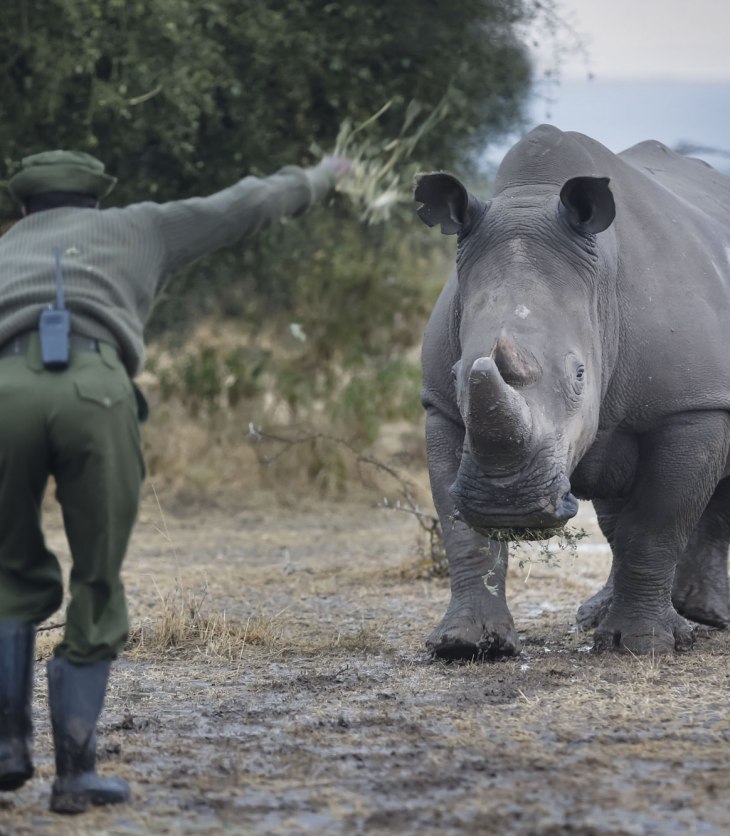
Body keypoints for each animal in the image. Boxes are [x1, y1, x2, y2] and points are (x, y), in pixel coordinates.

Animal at [415, 124, 730, 657]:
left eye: (580, 374)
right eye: (458, 374)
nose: (507, 506)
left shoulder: (692, 408)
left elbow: (657, 524)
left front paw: (641, 646)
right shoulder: (441, 407)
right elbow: (463, 532)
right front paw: (466, 645)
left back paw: (704, 618)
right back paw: (611, 617)